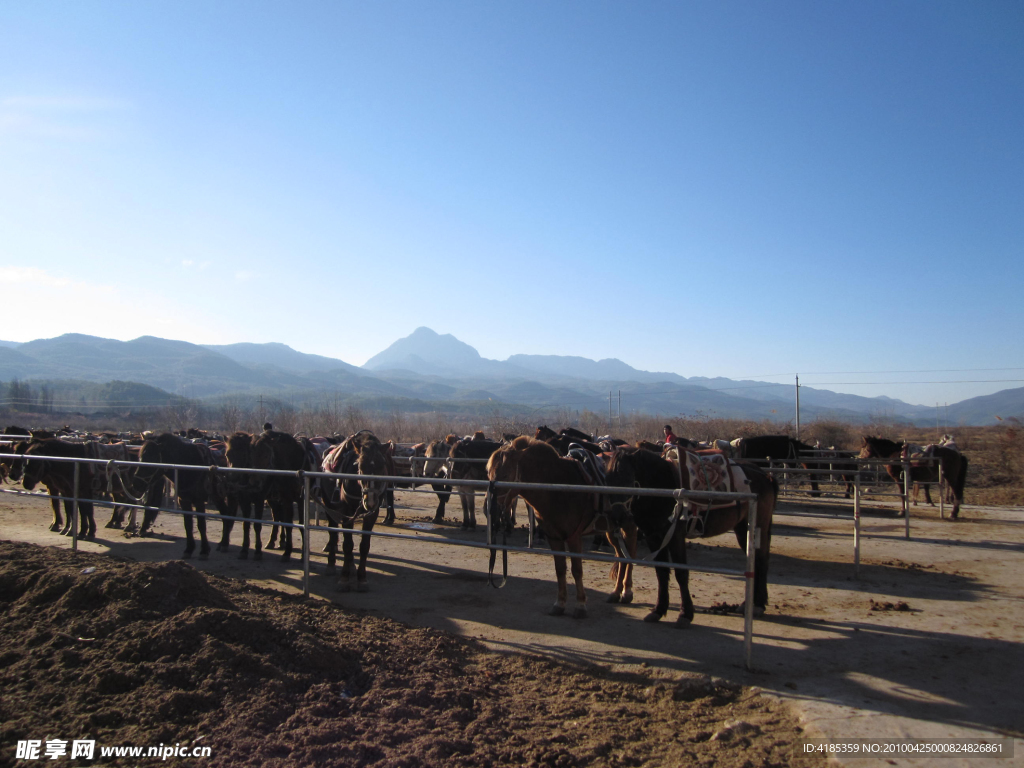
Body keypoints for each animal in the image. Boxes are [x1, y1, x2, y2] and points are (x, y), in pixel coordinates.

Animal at [315, 430, 391, 593]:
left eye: (382, 466)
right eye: (360, 466)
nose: (370, 500)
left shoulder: (371, 514)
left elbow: (364, 546)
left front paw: (362, 579)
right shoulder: (346, 511)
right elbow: (348, 545)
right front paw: (344, 579)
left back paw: (351, 566)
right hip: (328, 505)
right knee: (333, 532)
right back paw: (331, 565)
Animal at [483, 438, 634, 618]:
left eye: (505, 475)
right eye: (488, 474)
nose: (489, 508)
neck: (557, 488)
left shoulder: (574, 537)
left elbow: (577, 570)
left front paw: (580, 606)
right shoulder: (554, 537)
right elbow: (560, 569)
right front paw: (559, 604)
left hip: (629, 525)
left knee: (631, 554)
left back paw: (627, 592)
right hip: (611, 529)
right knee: (621, 556)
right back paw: (616, 593)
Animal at [602, 444, 778, 626]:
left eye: (628, 479)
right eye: (607, 481)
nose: (616, 517)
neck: (662, 486)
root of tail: (765, 475)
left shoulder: (676, 536)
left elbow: (681, 573)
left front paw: (685, 614)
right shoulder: (654, 537)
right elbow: (661, 572)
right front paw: (658, 610)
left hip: (757, 527)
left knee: (761, 561)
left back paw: (758, 606)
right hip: (743, 530)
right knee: (756, 560)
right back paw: (749, 604)